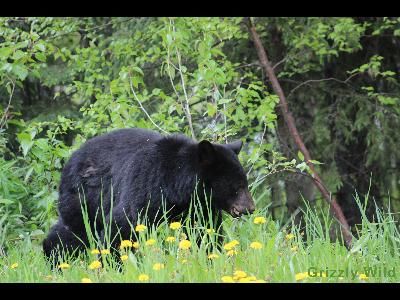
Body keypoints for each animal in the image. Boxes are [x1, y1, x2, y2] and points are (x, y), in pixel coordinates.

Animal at [43, 128, 253, 260]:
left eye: (245, 182)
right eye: (237, 185)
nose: (250, 208)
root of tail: (70, 159)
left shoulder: (197, 206)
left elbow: (205, 230)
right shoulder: (144, 187)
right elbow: (121, 226)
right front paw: (115, 262)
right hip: (85, 197)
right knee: (74, 231)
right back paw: (54, 257)